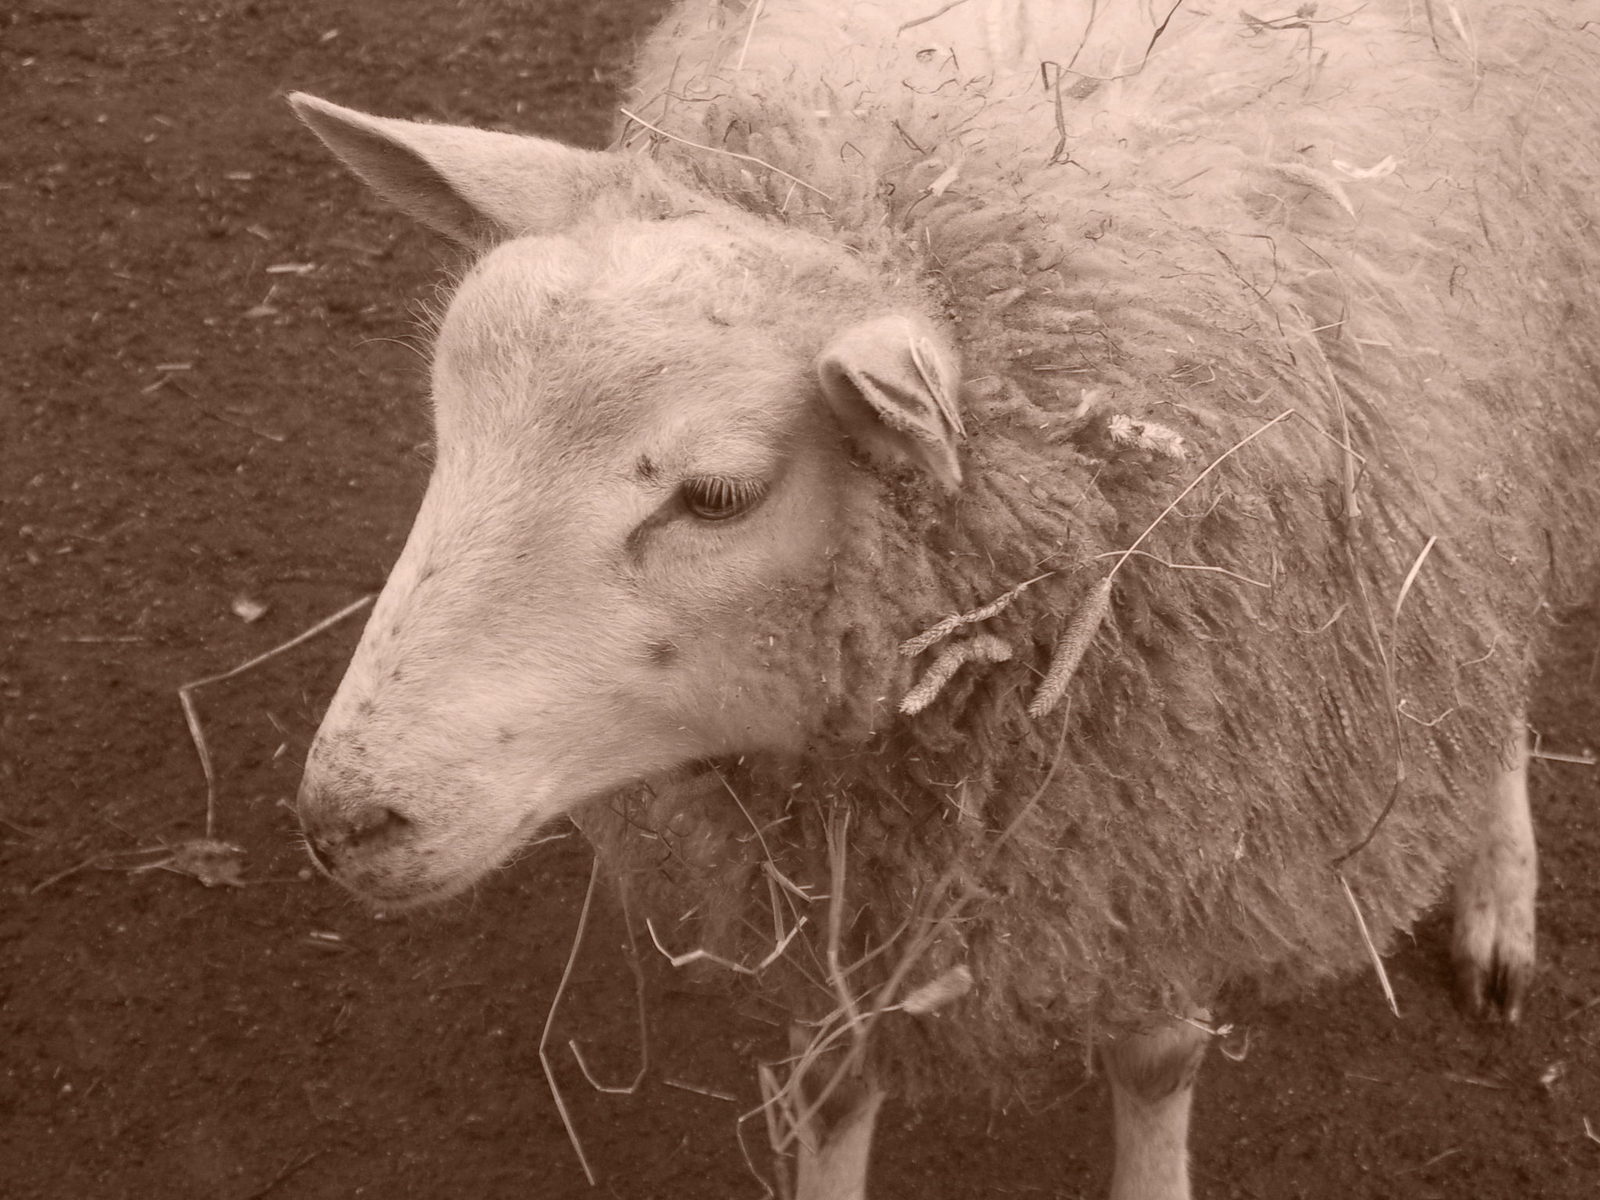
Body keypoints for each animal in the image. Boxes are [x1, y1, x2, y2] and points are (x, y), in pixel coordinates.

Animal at [284, 0, 1600, 1196]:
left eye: (716, 496)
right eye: (448, 423)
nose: (347, 822)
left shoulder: (1185, 836)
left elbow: (1156, 1061)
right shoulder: (858, 884)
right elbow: (830, 1077)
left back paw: (1497, 893)